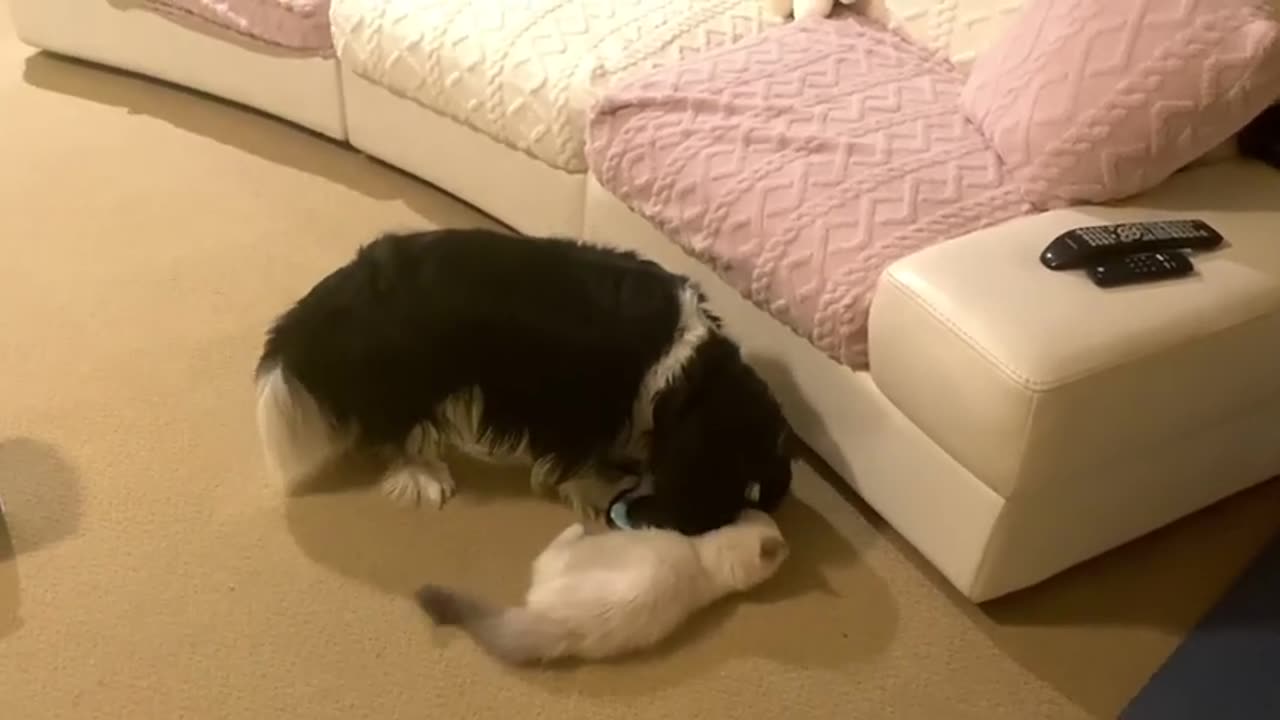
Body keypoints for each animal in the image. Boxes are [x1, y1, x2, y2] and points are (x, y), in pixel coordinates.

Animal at [254, 229, 793, 532]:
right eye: (725, 480)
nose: (703, 527)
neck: (686, 372)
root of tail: (356, 279)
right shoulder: (578, 410)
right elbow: (581, 465)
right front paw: (595, 492)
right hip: (415, 373)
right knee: (399, 429)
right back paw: (424, 473)